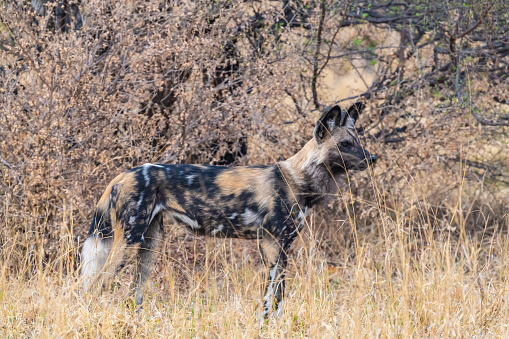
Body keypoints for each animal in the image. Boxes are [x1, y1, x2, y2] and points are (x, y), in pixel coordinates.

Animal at [81, 103, 376, 318]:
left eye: (357, 140)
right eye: (345, 144)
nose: (373, 158)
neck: (298, 179)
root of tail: (121, 176)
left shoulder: (282, 249)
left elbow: (279, 299)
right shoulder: (271, 245)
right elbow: (271, 299)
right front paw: (266, 327)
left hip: (150, 245)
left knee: (134, 294)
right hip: (128, 243)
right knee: (95, 286)